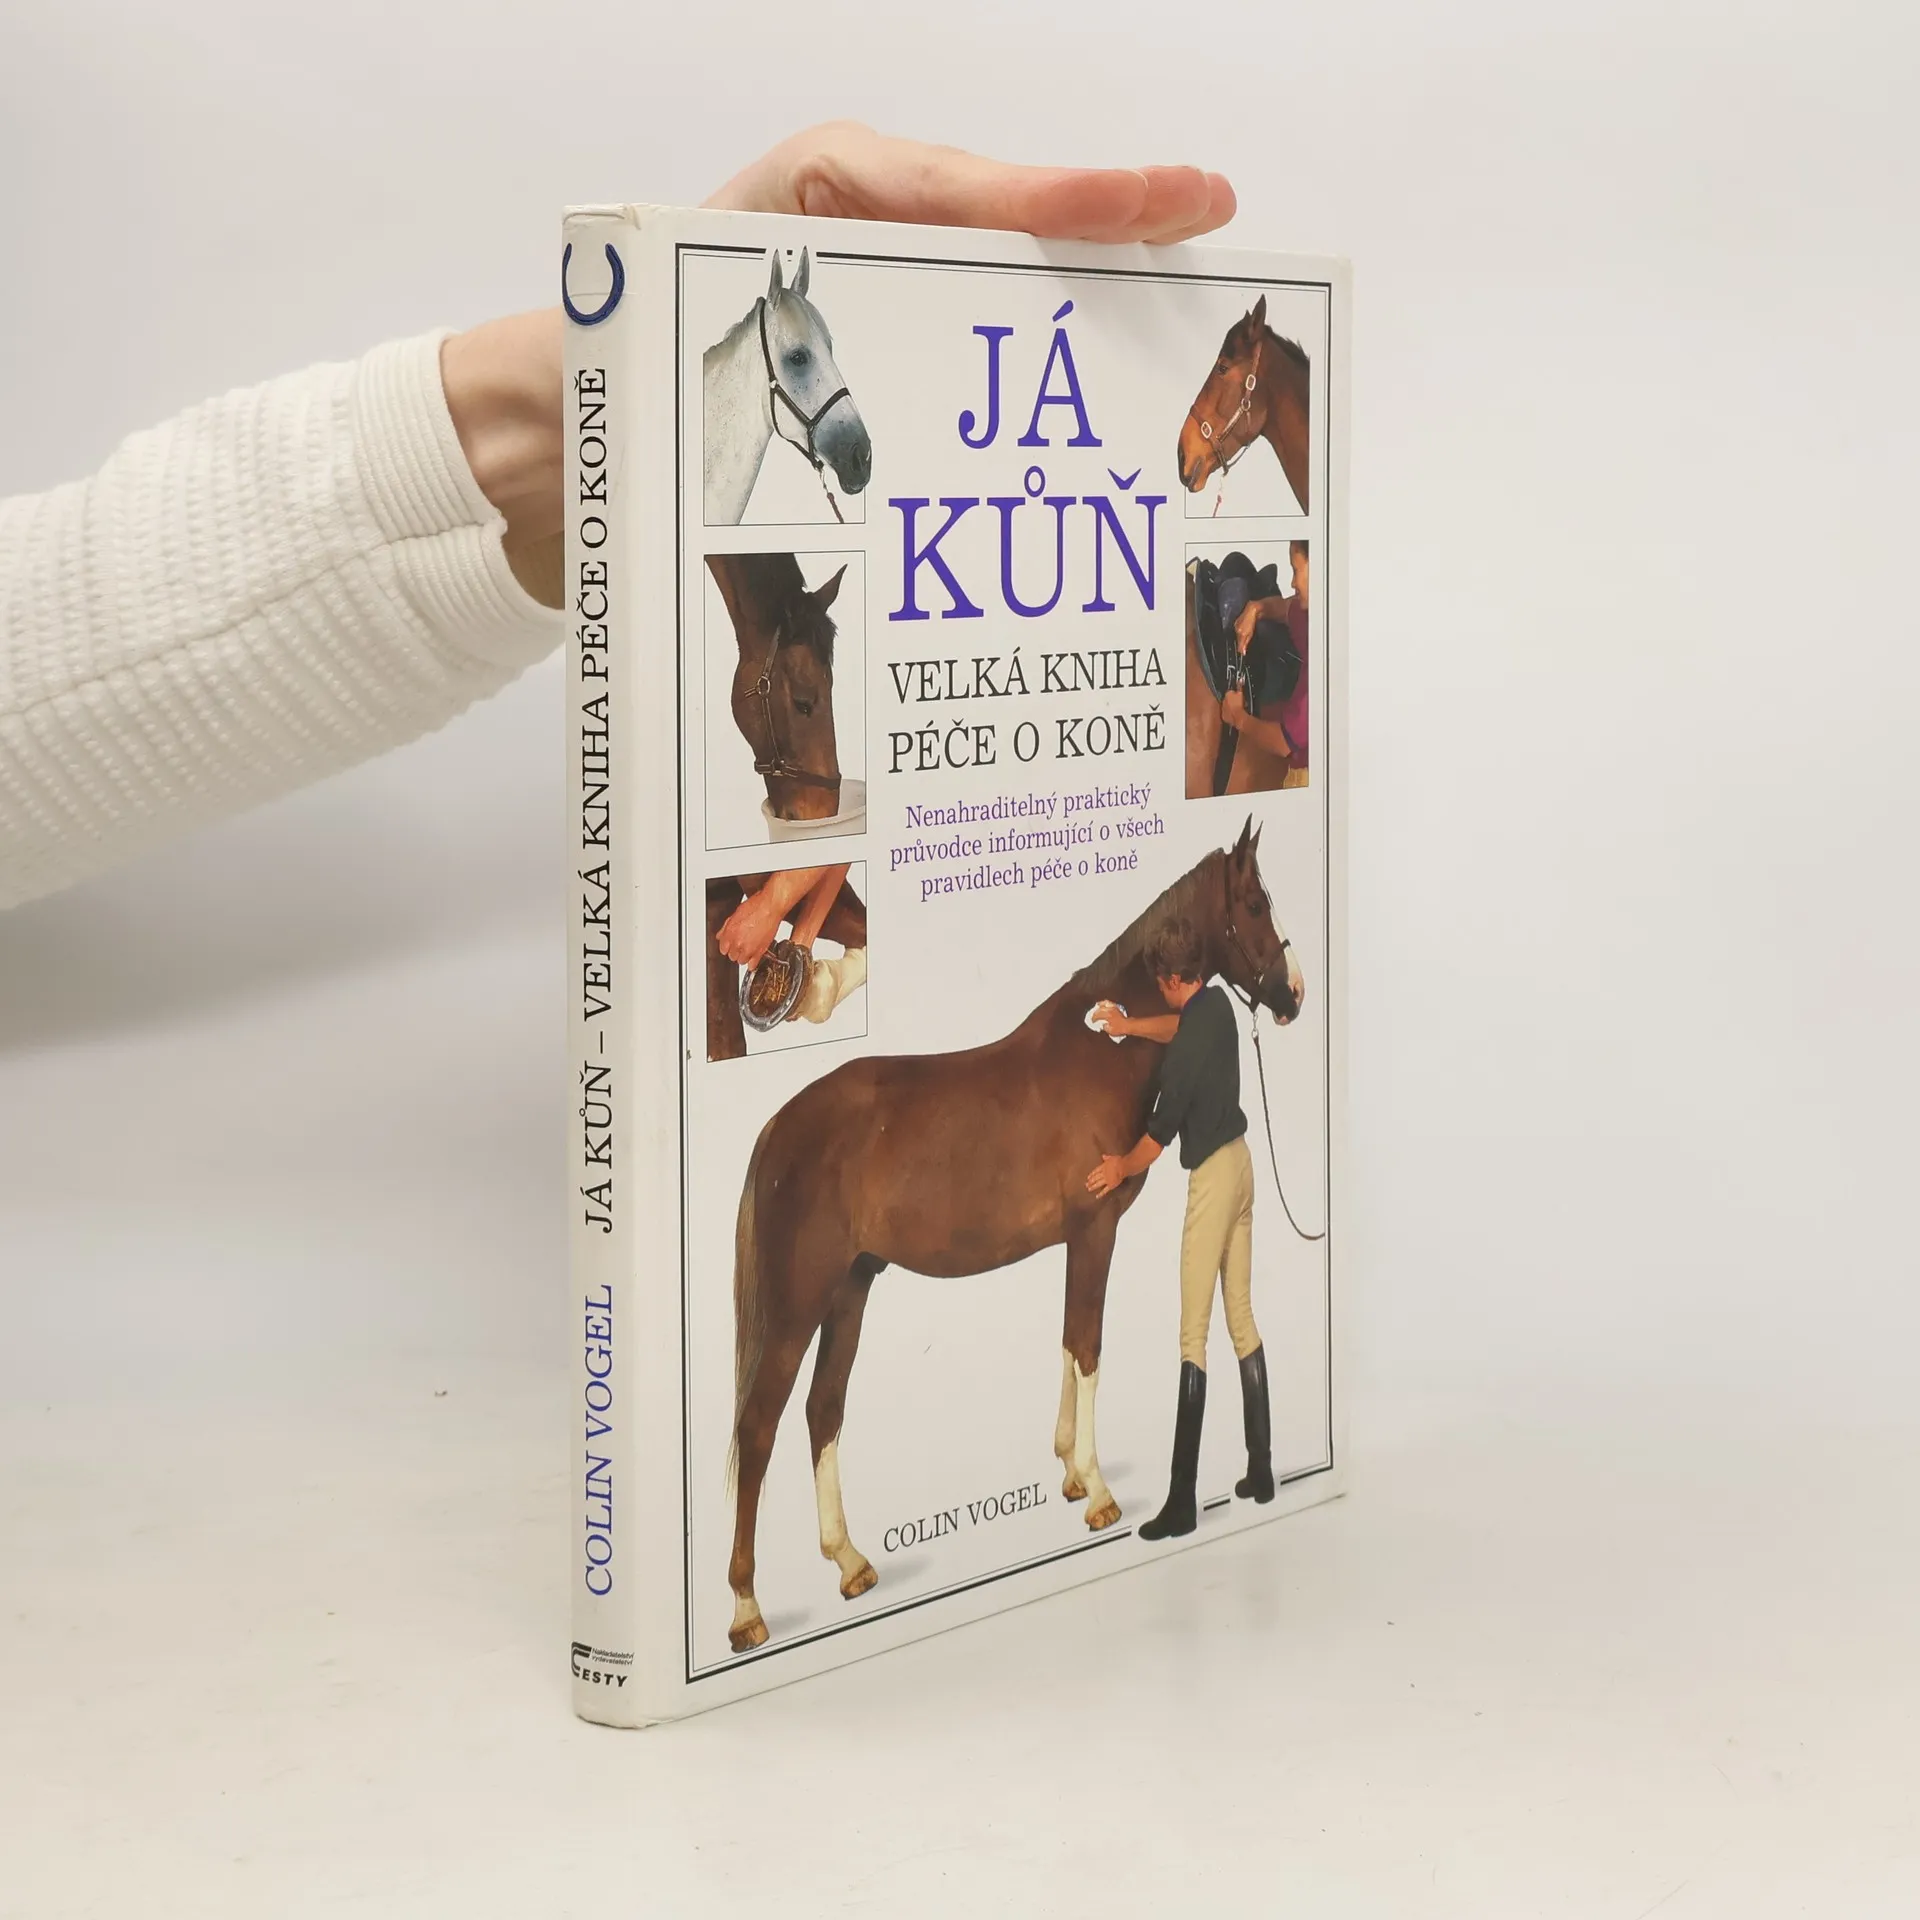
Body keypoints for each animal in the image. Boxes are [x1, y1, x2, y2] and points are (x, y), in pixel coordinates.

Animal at [723, 818, 1307, 1652]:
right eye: (1255, 904)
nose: (1293, 994)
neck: (1099, 1054)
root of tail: (777, 1128)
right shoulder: (1095, 1234)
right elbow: (1088, 1347)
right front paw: (1099, 1493)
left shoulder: (1076, 1242)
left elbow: (1067, 1342)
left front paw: (1068, 1473)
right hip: (799, 1305)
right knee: (758, 1429)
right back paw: (747, 1610)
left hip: (851, 1290)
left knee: (821, 1411)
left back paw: (851, 1563)